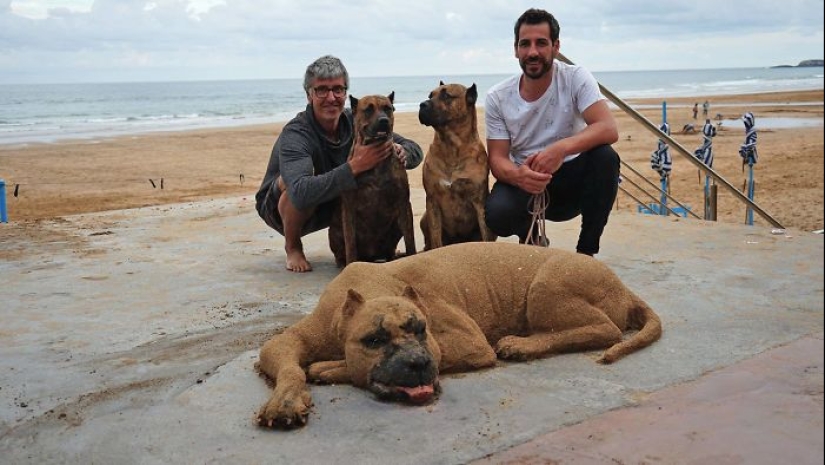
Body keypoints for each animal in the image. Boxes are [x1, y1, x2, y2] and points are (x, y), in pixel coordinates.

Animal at [258, 243, 664, 428]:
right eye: (373, 341)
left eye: (420, 330)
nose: (418, 363)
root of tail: (623, 287)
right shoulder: (285, 342)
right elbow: (290, 366)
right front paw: (286, 400)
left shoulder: (468, 344)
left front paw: (329, 367)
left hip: (546, 286)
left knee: (606, 330)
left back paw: (522, 344)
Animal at [418, 83, 496, 250]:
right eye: (430, 95)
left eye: (446, 95)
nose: (422, 105)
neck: (451, 147)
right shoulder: (432, 201)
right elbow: (436, 239)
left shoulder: (479, 201)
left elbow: (486, 234)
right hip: (424, 218)